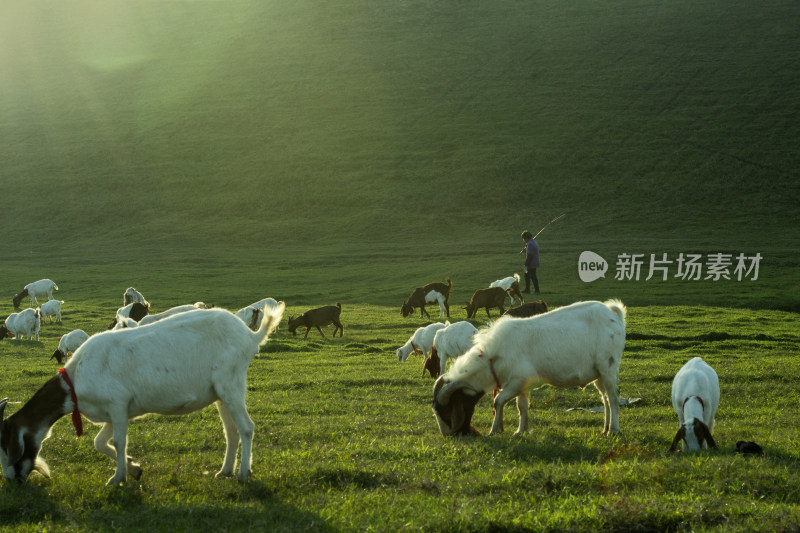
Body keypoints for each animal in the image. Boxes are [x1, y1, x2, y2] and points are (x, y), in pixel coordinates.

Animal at [0, 302, 286, 484]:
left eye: (8, 445)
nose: (12, 480)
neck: (76, 378)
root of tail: (250, 336)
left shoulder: (117, 403)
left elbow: (118, 441)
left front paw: (118, 478)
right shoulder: (117, 411)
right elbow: (99, 442)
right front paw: (134, 469)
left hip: (231, 383)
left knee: (246, 427)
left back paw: (244, 474)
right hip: (220, 393)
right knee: (231, 431)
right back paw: (225, 471)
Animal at [432, 300, 624, 436]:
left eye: (447, 412)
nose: (449, 434)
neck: (492, 357)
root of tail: (613, 314)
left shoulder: (517, 381)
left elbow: (498, 400)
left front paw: (495, 430)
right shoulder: (521, 384)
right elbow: (522, 406)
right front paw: (521, 431)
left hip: (608, 367)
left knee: (613, 398)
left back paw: (614, 429)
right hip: (598, 374)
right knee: (605, 399)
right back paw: (605, 428)